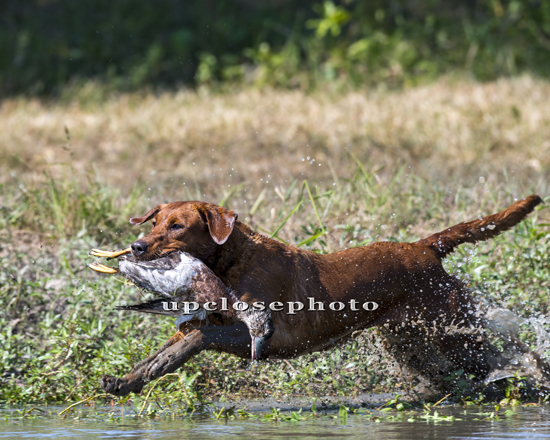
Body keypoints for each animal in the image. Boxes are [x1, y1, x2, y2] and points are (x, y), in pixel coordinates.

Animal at [99, 194, 544, 394]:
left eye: (177, 226)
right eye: (154, 222)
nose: (137, 247)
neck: (233, 260)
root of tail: (423, 247)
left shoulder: (266, 335)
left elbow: (196, 339)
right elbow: (168, 348)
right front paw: (126, 380)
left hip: (453, 328)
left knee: (519, 353)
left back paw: (534, 379)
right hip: (413, 341)